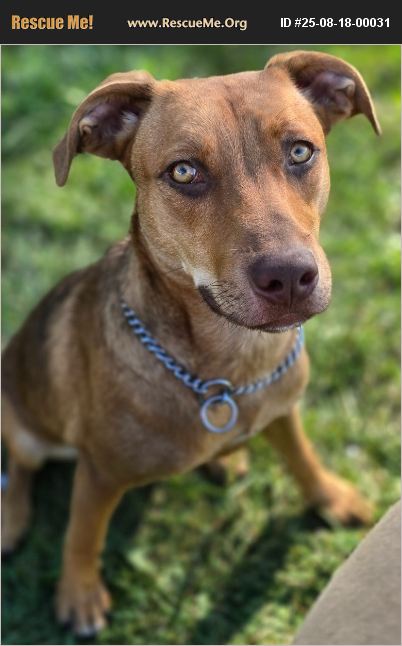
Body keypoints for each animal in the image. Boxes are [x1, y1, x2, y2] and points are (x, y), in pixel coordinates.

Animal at [2, 50, 380, 636]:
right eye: (184, 172)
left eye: (300, 151)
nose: (289, 277)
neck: (230, 364)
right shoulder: (99, 473)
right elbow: (83, 534)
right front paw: (79, 595)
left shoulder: (283, 405)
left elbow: (300, 453)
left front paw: (329, 495)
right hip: (22, 416)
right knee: (20, 464)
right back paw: (11, 519)